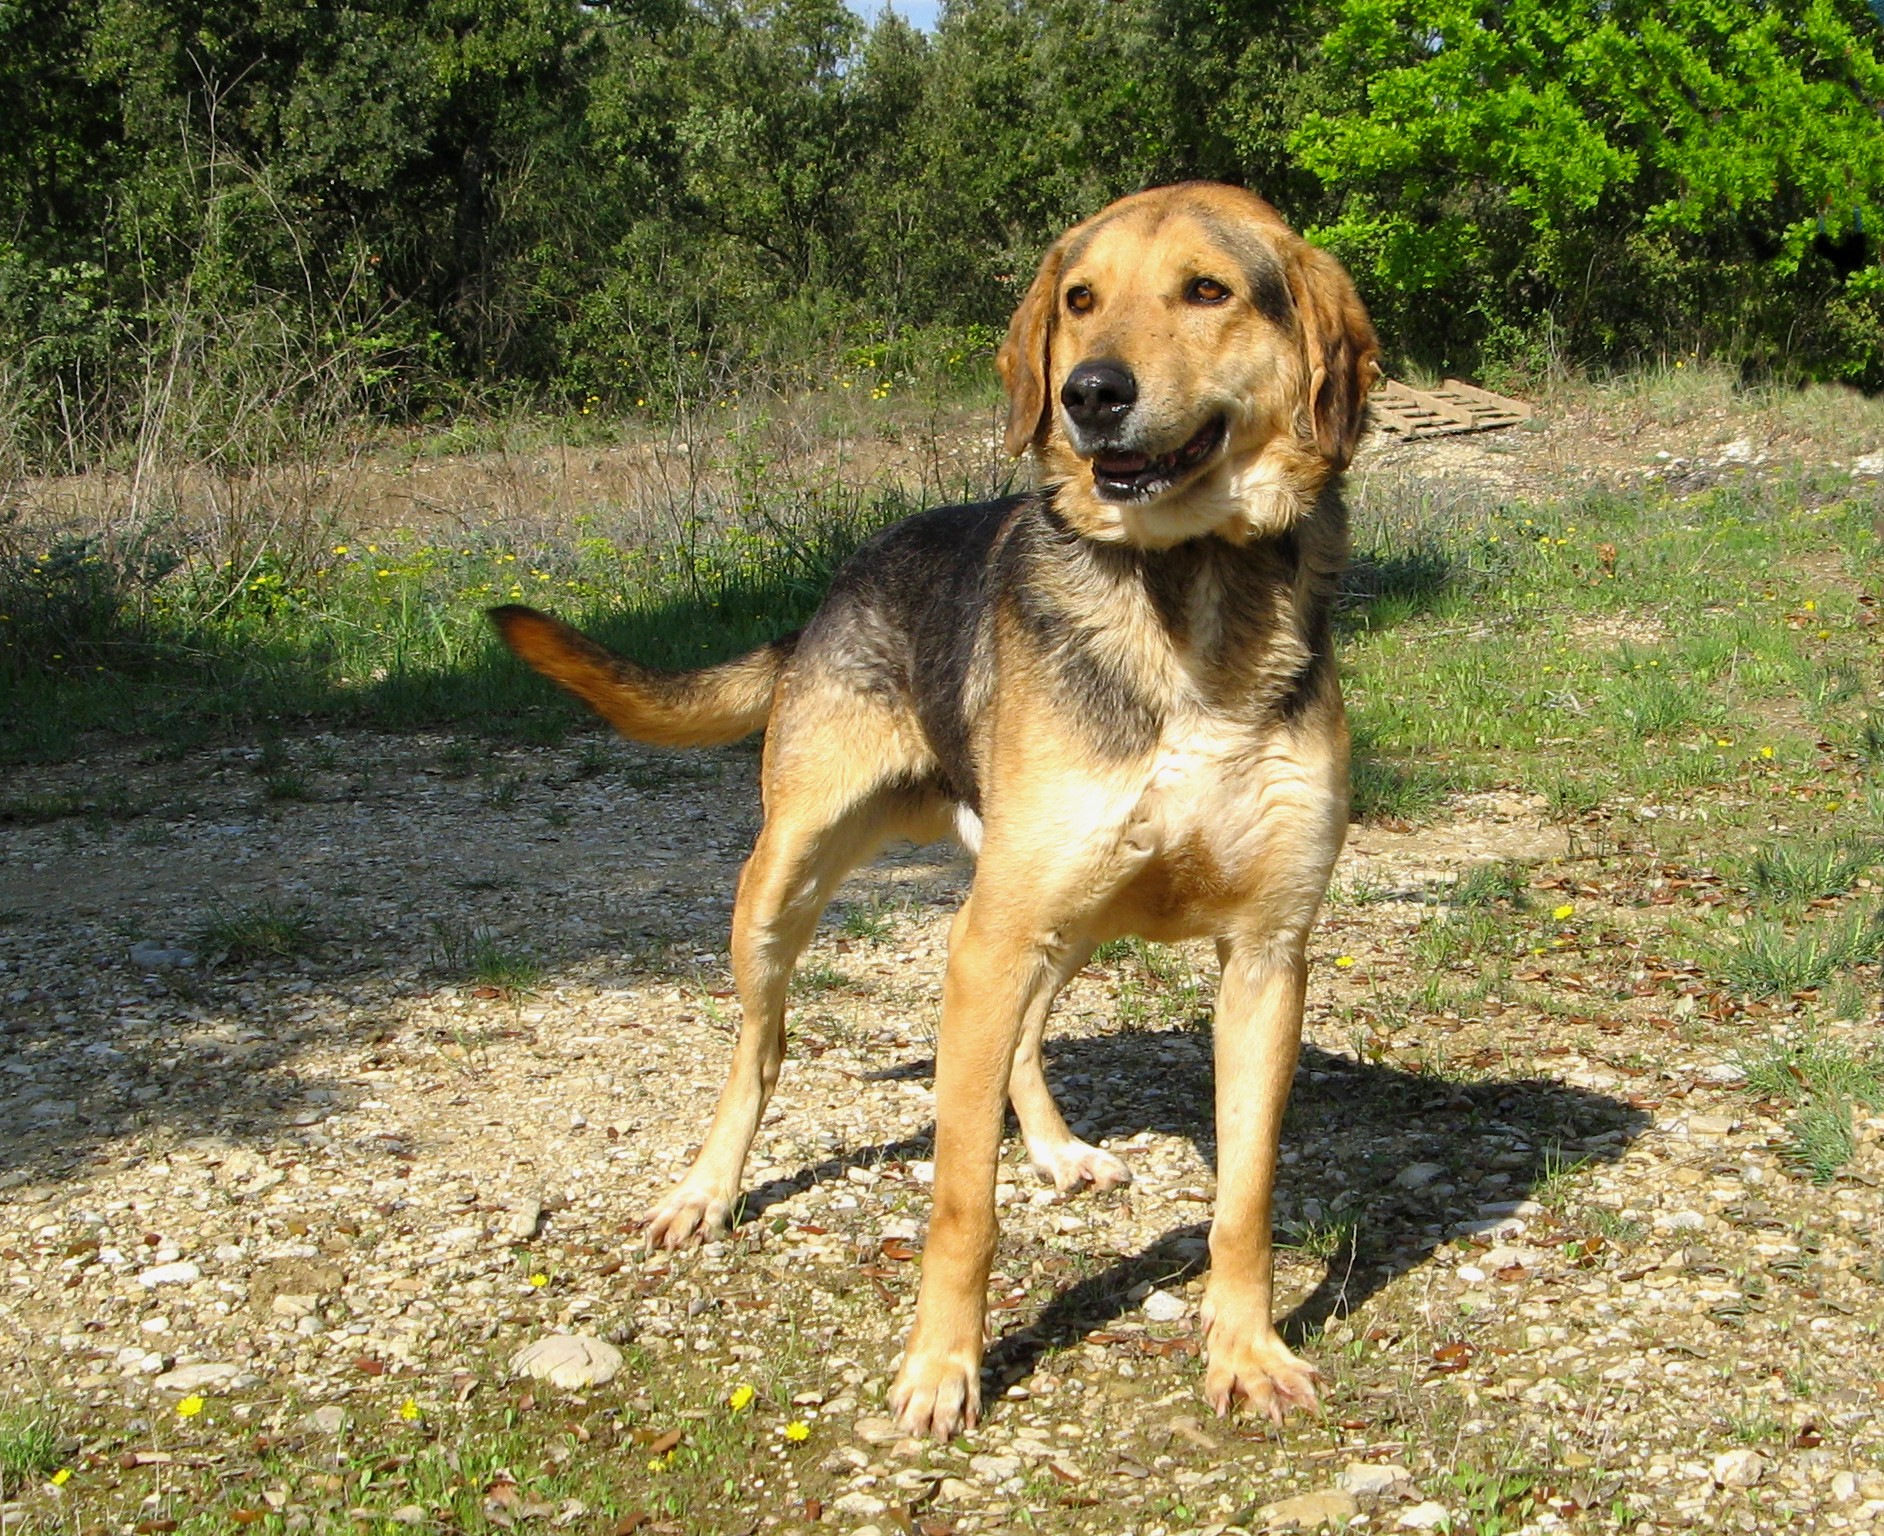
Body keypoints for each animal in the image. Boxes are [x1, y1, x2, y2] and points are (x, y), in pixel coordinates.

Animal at [497, 182, 1386, 1439]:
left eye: (1208, 290)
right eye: (1081, 299)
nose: (1091, 394)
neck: (1190, 596)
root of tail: (830, 593)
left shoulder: (1266, 958)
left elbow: (1245, 1201)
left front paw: (1247, 1352)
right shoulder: (995, 942)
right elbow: (963, 1200)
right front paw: (940, 1370)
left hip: (1047, 922)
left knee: (1019, 1047)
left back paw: (1056, 1151)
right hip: (794, 887)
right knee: (759, 1051)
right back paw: (706, 1192)